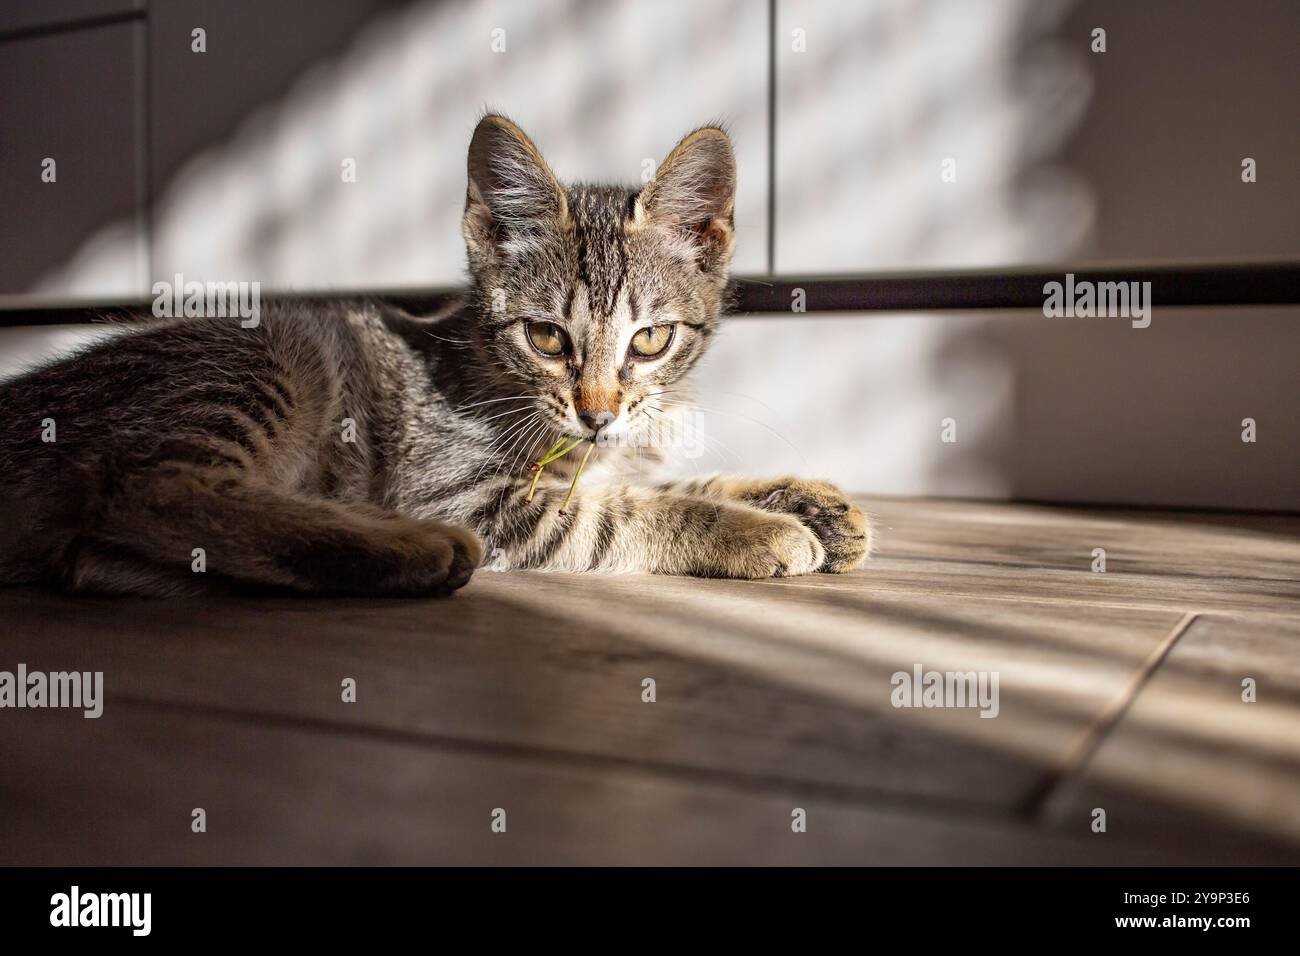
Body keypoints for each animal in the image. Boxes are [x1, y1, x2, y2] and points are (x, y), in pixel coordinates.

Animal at [5, 115, 873, 595]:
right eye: (546, 337)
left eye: (651, 339)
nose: (596, 412)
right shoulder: (467, 493)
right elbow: (629, 514)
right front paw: (760, 531)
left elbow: (669, 481)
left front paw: (807, 503)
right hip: (271, 355)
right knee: (146, 487)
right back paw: (402, 546)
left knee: (93, 555)